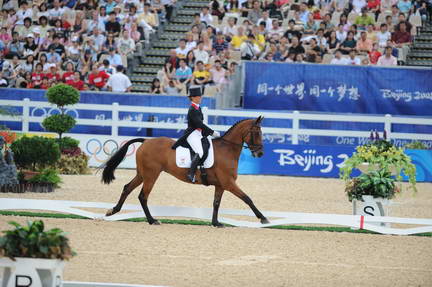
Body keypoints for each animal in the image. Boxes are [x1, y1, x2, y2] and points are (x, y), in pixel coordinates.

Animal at [102, 116, 270, 227]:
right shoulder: (229, 183)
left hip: (142, 174)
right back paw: (152, 220)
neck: (227, 149)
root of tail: (146, 141)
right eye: (256, 132)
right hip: (151, 175)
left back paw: (113, 211)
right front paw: (263, 218)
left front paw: (216, 222)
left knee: (127, 188)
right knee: (143, 196)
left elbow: (216, 203)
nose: (260, 153)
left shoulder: (221, 185)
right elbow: (247, 198)